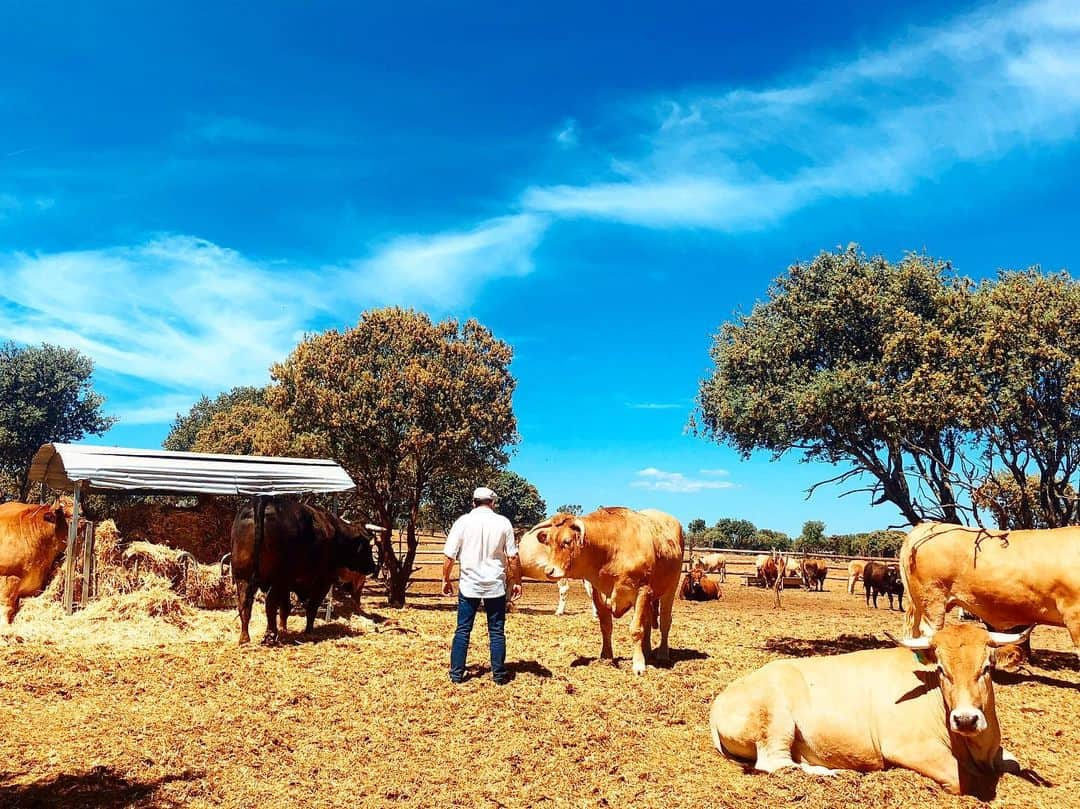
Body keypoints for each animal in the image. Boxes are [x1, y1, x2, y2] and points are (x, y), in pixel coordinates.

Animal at [230, 492, 378, 643]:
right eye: (368, 545)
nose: (373, 567)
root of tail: (263, 499)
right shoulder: (323, 581)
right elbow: (311, 607)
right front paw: (308, 631)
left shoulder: (288, 584)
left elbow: (285, 607)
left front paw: (284, 629)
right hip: (277, 579)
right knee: (269, 604)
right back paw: (270, 635)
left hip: (243, 577)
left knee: (245, 604)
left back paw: (245, 637)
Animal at [533, 505, 678, 673]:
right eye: (548, 542)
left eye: (567, 541)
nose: (549, 571)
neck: (612, 551)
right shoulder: (598, 593)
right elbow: (606, 627)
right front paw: (606, 657)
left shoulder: (643, 591)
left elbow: (636, 629)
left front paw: (638, 665)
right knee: (647, 622)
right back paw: (646, 651)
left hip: (670, 589)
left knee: (665, 621)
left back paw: (662, 654)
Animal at [712, 622, 1032, 799]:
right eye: (942, 669)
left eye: (986, 667)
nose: (965, 719)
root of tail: (720, 701)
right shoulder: (907, 747)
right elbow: (962, 779)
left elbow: (1013, 763)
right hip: (776, 722)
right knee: (775, 763)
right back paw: (828, 772)